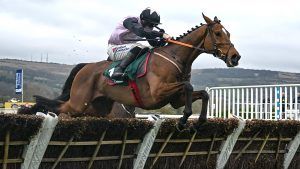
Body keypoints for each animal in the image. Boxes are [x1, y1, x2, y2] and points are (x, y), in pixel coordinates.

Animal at [35, 13, 241, 129]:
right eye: (218, 33)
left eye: (229, 33)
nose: (235, 57)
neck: (175, 57)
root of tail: (85, 67)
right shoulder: (157, 93)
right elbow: (189, 87)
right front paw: (183, 121)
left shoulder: (175, 99)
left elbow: (203, 94)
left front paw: (198, 121)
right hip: (79, 103)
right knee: (58, 108)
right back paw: (37, 108)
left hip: (97, 107)